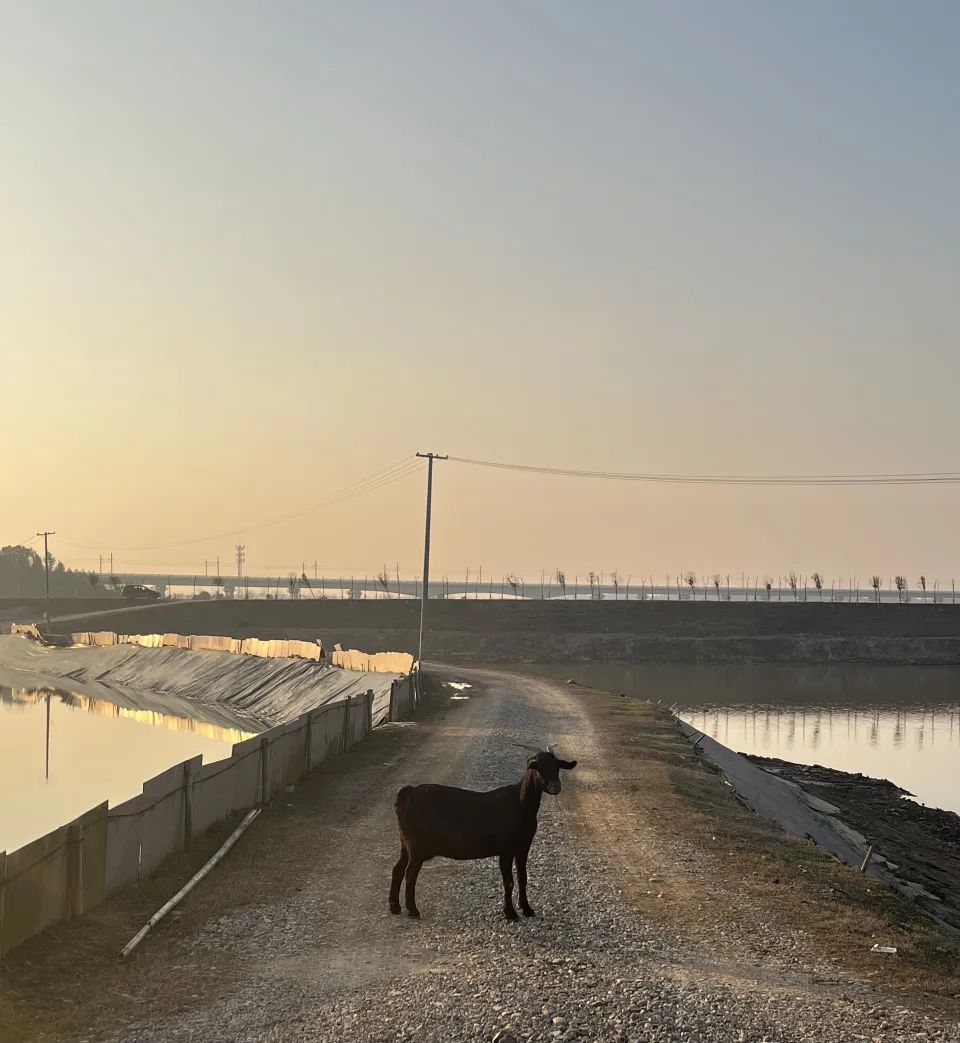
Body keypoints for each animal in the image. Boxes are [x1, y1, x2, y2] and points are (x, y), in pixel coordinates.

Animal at [390, 750, 576, 922]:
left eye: (557, 766)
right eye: (538, 767)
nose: (555, 786)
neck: (519, 803)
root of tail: (407, 792)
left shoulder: (523, 848)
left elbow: (522, 878)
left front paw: (527, 909)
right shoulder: (506, 850)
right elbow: (509, 882)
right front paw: (510, 913)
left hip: (405, 843)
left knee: (397, 869)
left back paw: (395, 907)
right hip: (416, 846)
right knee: (409, 873)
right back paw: (413, 911)